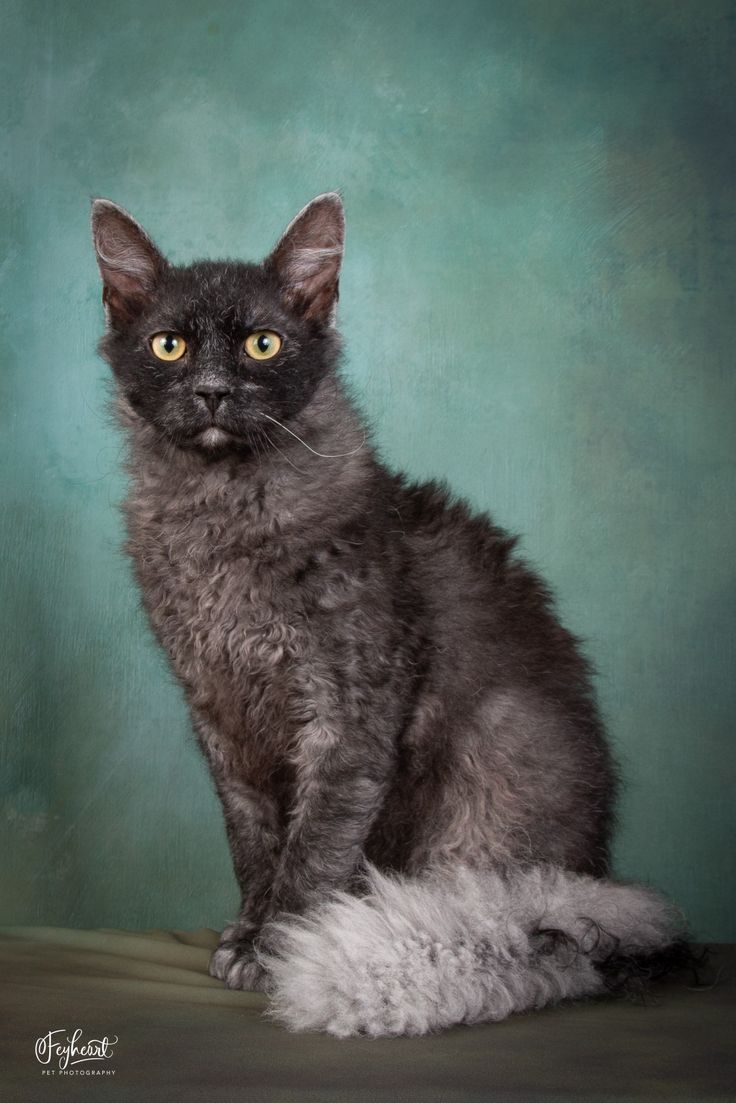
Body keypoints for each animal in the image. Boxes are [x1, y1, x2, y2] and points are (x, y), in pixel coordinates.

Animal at [90, 191, 684, 1032]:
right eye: (168, 346)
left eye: (264, 345)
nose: (211, 391)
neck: (222, 515)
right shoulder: (222, 718)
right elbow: (254, 843)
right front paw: (245, 930)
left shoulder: (350, 712)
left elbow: (312, 851)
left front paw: (278, 947)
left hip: (501, 748)